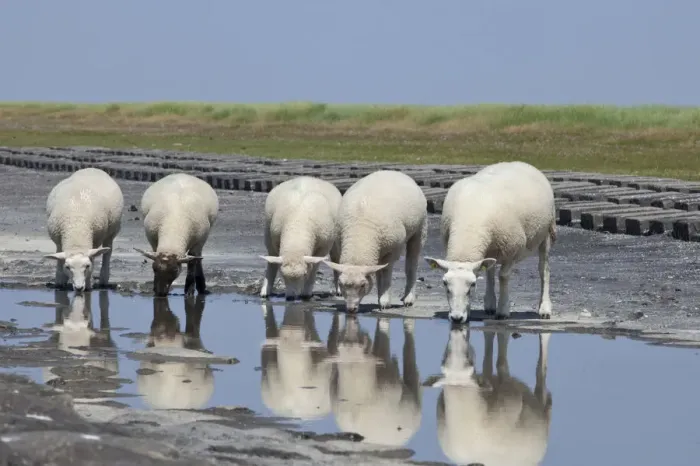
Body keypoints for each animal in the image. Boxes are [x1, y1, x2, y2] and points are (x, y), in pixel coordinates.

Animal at [322, 170, 427, 312]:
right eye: (341, 284)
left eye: (362, 285)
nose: (350, 309)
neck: (360, 236)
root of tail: (391, 171)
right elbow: (378, 272)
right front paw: (380, 297)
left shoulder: (392, 250)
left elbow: (387, 272)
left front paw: (385, 300)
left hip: (420, 229)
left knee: (411, 264)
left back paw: (408, 298)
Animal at [424, 161, 556, 323]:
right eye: (445, 284)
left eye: (473, 285)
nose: (456, 318)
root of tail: (520, 162)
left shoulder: (512, 250)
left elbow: (503, 276)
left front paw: (503, 310)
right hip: (493, 246)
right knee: (490, 270)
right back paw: (490, 305)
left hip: (546, 233)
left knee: (544, 270)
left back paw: (544, 308)